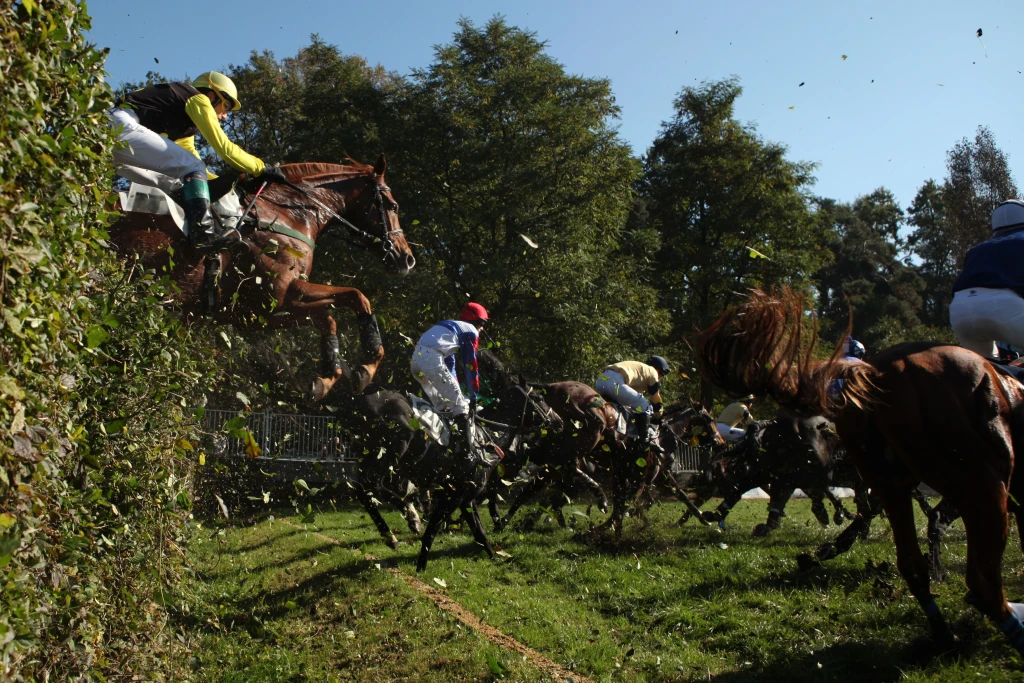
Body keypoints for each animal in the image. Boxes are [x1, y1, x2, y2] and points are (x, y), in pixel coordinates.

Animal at [107, 155, 411, 397]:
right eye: (393, 206)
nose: (407, 258)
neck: (287, 215)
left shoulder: (281, 299)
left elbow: (343, 306)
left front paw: (337, 374)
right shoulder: (263, 308)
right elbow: (341, 308)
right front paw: (361, 368)